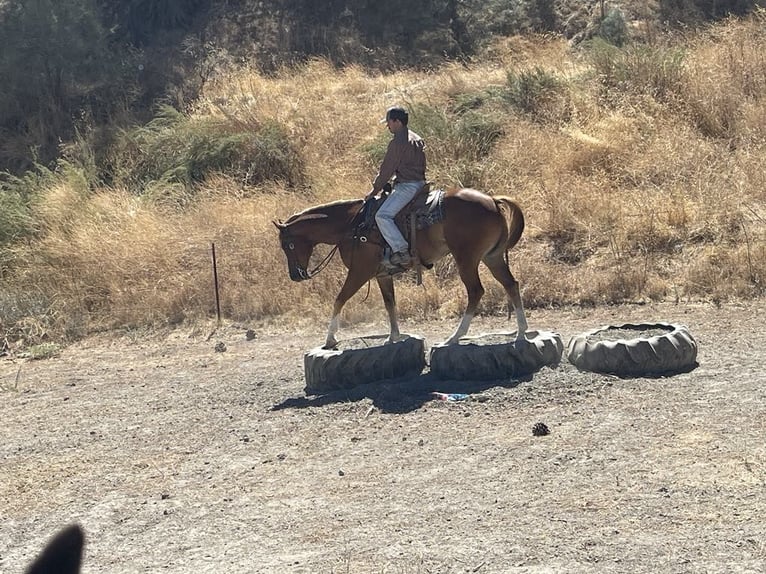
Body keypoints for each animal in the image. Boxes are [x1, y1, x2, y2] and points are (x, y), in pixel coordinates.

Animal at [272, 191, 532, 348]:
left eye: (288, 245)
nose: (296, 275)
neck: (351, 226)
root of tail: (493, 201)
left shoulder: (360, 272)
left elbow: (339, 299)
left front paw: (330, 338)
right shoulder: (381, 274)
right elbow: (390, 304)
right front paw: (393, 337)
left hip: (467, 259)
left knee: (476, 291)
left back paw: (454, 337)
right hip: (492, 257)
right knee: (511, 284)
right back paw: (521, 332)